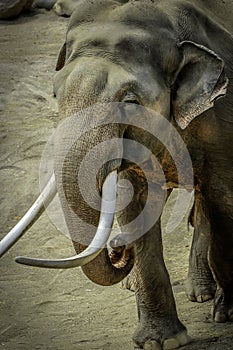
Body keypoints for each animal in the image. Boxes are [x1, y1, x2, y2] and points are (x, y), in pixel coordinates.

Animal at [0, 0, 233, 350]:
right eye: (56, 95)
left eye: (131, 102)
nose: (117, 247)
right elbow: (134, 202)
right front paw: (160, 341)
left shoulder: (222, 116)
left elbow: (222, 199)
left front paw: (226, 313)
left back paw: (204, 295)